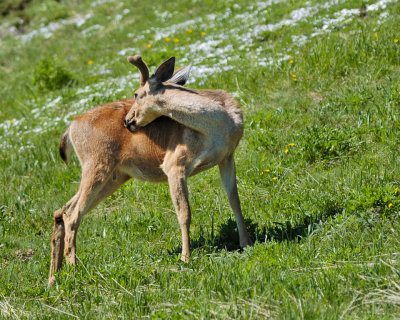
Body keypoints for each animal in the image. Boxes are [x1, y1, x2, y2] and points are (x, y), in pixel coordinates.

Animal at [49, 56, 250, 286]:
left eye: (136, 93)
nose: (127, 121)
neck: (217, 128)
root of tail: (70, 128)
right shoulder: (174, 163)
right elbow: (184, 212)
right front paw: (186, 258)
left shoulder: (226, 157)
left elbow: (234, 200)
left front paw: (246, 243)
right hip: (96, 164)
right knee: (73, 214)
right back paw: (74, 271)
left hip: (115, 176)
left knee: (62, 210)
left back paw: (54, 278)